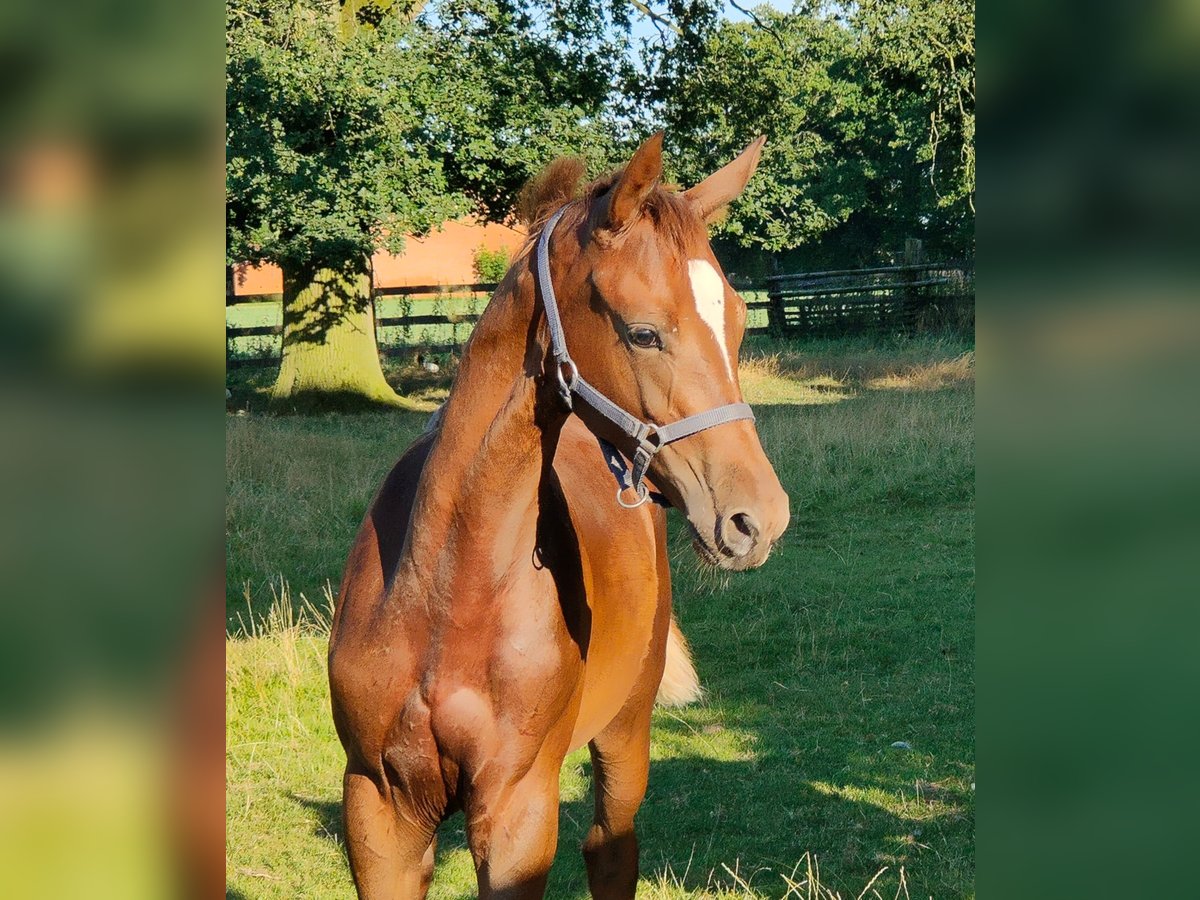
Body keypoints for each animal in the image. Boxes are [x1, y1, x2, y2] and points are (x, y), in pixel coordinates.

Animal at [333, 133, 792, 900]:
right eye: (644, 333)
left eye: (736, 324)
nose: (758, 519)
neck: (445, 589)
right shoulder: (377, 810)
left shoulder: (518, 810)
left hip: (626, 726)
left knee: (611, 846)